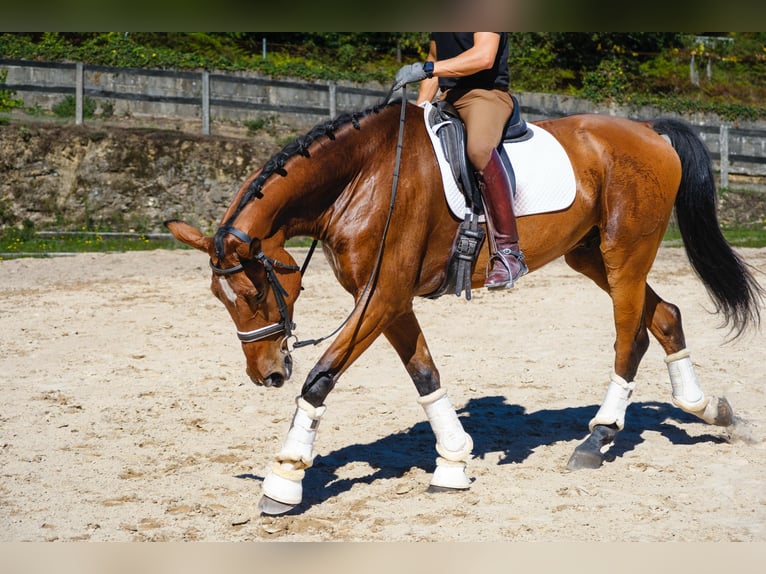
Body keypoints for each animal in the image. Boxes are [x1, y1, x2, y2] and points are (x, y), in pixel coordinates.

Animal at [165, 98, 763, 515]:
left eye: (253, 294)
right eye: (218, 299)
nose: (266, 374)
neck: (361, 176)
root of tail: (649, 131)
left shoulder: (381, 295)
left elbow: (320, 379)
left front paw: (285, 479)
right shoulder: (387, 299)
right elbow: (425, 374)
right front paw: (453, 462)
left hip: (625, 255)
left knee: (629, 335)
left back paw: (598, 436)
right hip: (589, 256)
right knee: (664, 315)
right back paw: (710, 409)